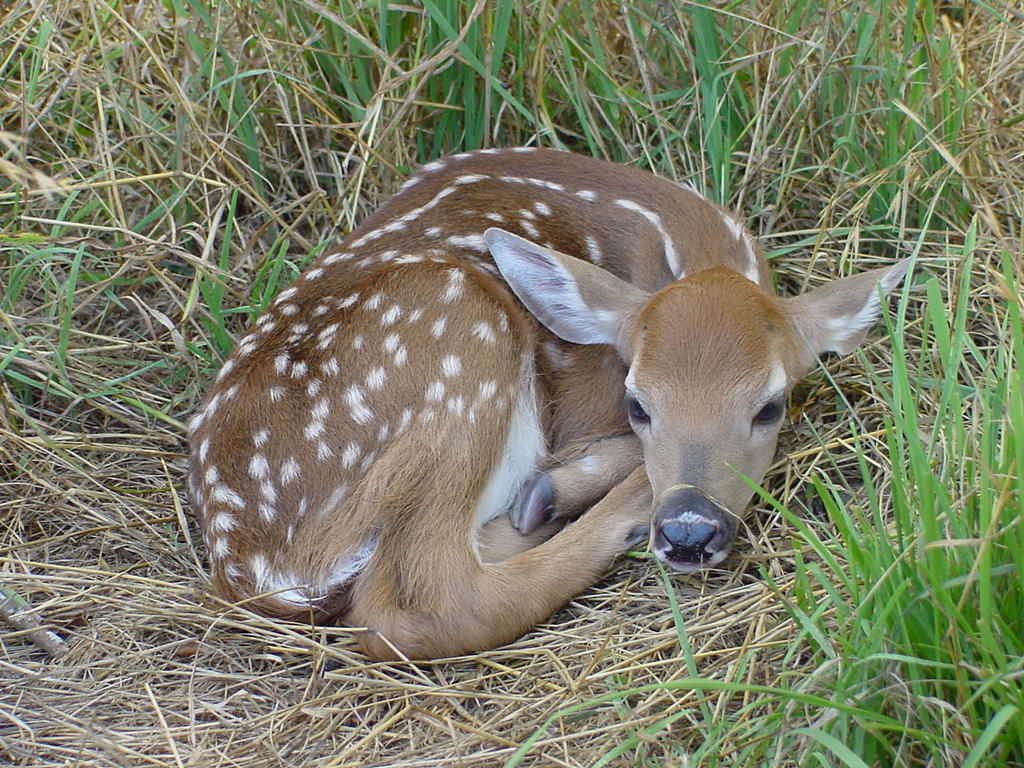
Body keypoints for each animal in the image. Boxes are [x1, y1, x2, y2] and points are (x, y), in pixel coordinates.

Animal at [184, 148, 905, 663]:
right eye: (637, 404)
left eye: (770, 406)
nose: (688, 530)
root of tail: (249, 563)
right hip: (458, 329)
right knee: (424, 602)